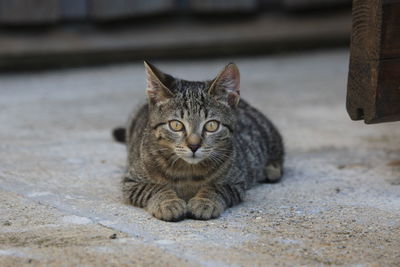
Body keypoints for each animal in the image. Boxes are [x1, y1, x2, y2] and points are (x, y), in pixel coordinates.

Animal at [113, 61, 284, 223]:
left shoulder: (237, 182)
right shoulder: (130, 182)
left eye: (211, 125)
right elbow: (153, 188)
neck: (187, 172)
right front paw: (168, 202)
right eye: (176, 125)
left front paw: (204, 201)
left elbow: (216, 188)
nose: (194, 146)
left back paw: (271, 169)